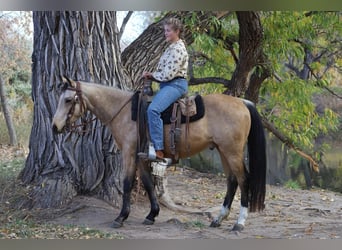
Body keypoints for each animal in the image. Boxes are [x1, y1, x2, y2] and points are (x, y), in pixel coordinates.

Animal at [51, 77, 268, 232]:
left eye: (68, 100)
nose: (55, 127)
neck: (124, 112)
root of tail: (242, 102)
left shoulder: (129, 152)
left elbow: (127, 183)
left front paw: (121, 217)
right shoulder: (141, 156)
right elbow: (148, 183)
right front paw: (151, 215)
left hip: (232, 151)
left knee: (244, 180)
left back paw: (239, 223)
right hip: (223, 151)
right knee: (232, 181)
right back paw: (219, 219)